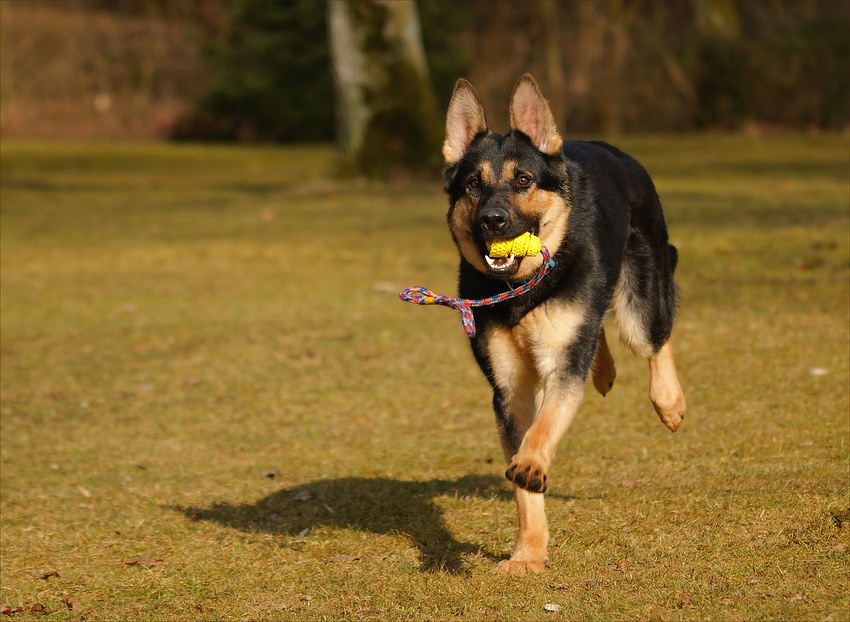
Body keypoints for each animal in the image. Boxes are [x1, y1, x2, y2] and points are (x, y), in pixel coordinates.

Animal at [440, 75, 684, 576]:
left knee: (654, 338)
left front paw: (532, 464)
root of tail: (613, 150)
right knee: (599, 330)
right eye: (473, 184)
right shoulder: (509, 387)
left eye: (523, 180)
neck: (523, 287)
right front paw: (528, 554)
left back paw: (669, 402)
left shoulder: (561, 368)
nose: (492, 220)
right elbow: (524, 486)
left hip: (641, 299)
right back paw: (605, 372)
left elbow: (545, 426)